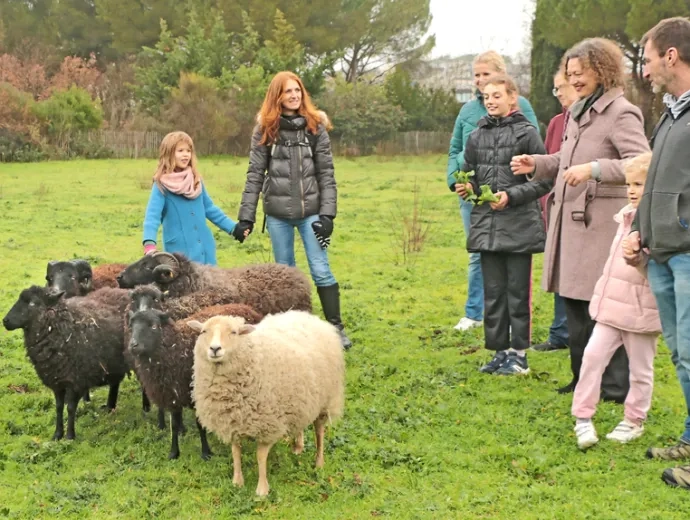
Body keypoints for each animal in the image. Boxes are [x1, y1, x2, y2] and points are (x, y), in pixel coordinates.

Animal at [187, 308, 344, 496]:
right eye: (204, 331)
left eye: (234, 332)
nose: (215, 348)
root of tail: (307, 316)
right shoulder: (232, 422)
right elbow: (235, 452)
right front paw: (237, 481)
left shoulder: (268, 425)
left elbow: (260, 456)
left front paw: (262, 489)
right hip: (301, 399)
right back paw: (298, 447)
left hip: (325, 401)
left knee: (319, 431)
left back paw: (319, 462)